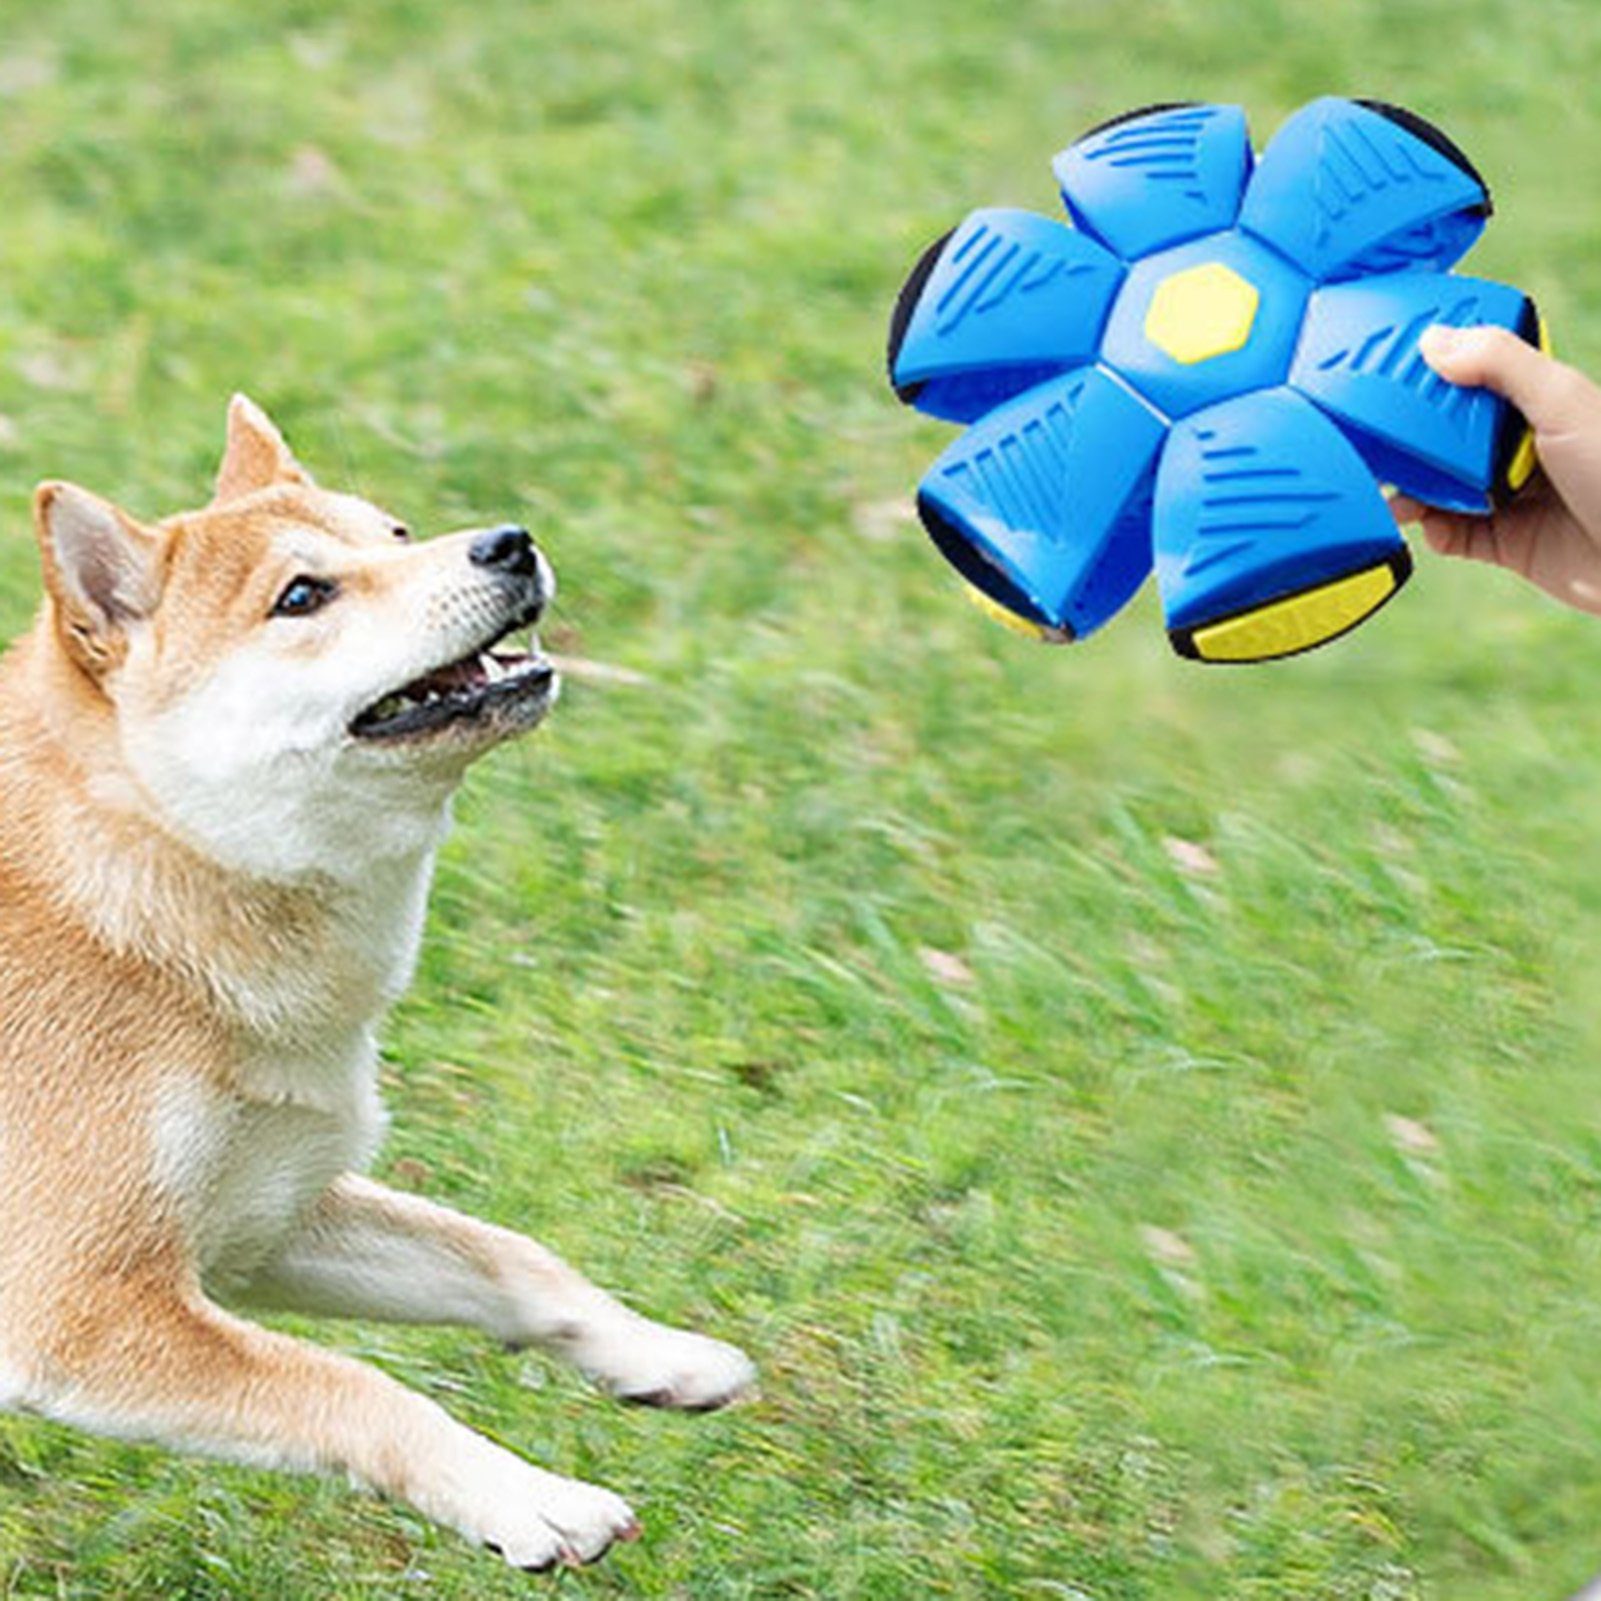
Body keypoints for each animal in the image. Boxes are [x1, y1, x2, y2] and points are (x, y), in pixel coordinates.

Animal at [0, 393, 755, 1568]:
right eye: (302, 595)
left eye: (395, 533)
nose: (507, 541)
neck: (133, 875)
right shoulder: (78, 1307)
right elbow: (352, 1387)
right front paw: (527, 1496)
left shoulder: (261, 1217)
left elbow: (510, 1259)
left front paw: (660, 1355)